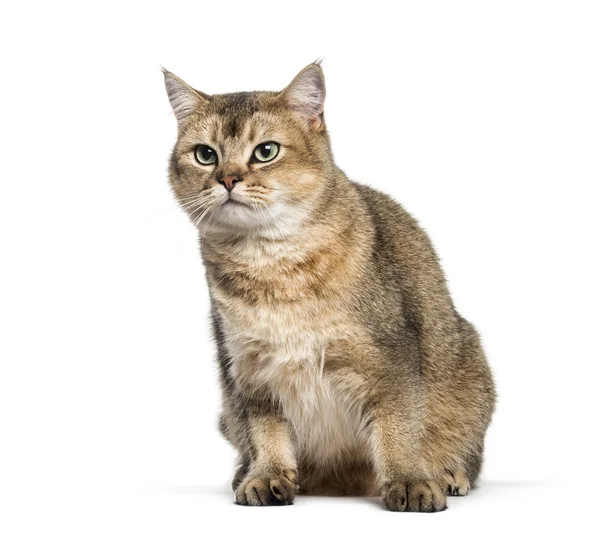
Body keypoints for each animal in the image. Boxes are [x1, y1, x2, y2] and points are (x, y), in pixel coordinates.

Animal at [162, 60, 494, 512]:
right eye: (205, 154)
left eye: (266, 151)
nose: (228, 179)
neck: (272, 264)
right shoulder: (248, 372)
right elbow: (265, 431)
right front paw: (267, 474)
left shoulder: (391, 358)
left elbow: (398, 427)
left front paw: (409, 479)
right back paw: (245, 472)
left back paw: (448, 473)